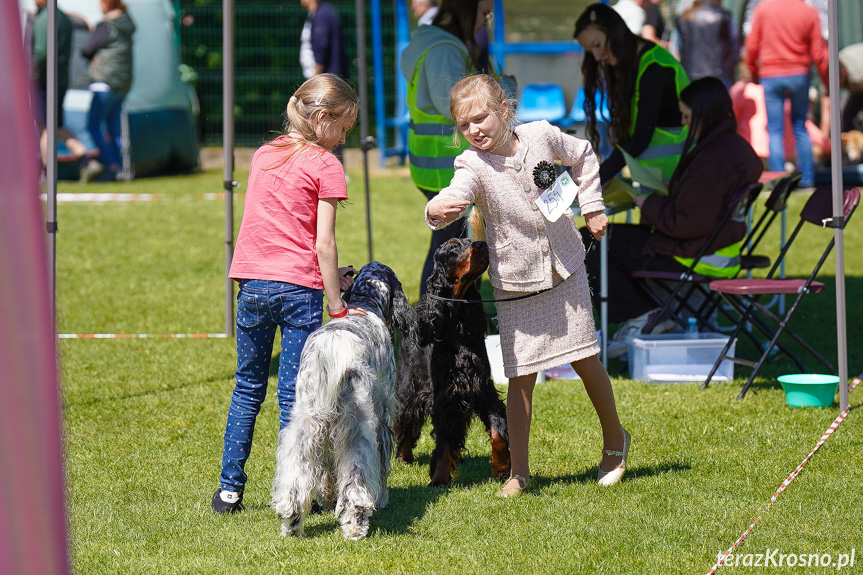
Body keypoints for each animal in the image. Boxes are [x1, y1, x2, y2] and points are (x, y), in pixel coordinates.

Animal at [272, 264, 416, 544]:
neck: (365, 301)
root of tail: (331, 351)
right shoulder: (383, 418)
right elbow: (382, 464)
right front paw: (383, 499)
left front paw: (327, 498)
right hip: (357, 426)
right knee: (356, 484)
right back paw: (355, 527)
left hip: (306, 425)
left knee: (295, 481)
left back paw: (292, 524)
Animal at [394, 238, 510, 486]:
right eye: (453, 247)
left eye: (469, 241)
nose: (481, 243)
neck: (456, 326)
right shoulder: (443, 398)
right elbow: (443, 443)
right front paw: (439, 477)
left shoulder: (483, 389)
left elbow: (498, 431)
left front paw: (502, 468)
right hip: (409, 387)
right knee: (406, 420)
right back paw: (403, 455)